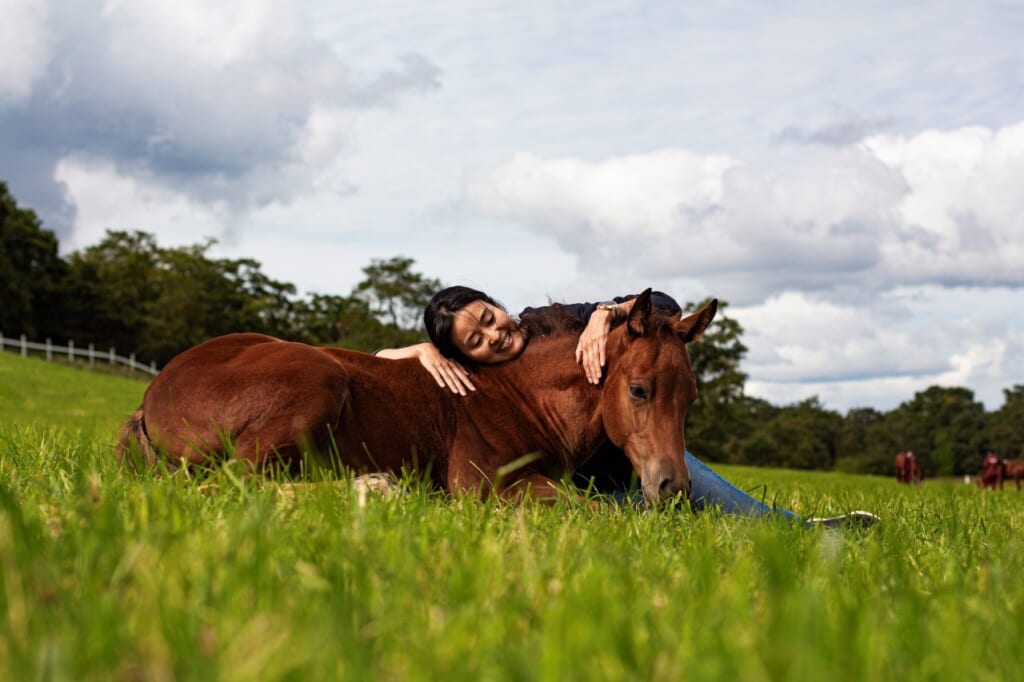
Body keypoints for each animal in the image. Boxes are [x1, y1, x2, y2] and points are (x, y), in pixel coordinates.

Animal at [116, 288, 716, 501]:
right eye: (638, 389)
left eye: (689, 400)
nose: (672, 488)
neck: (522, 398)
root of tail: (152, 395)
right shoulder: (482, 488)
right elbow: (584, 510)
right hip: (318, 379)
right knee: (235, 483)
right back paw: (378, 487)